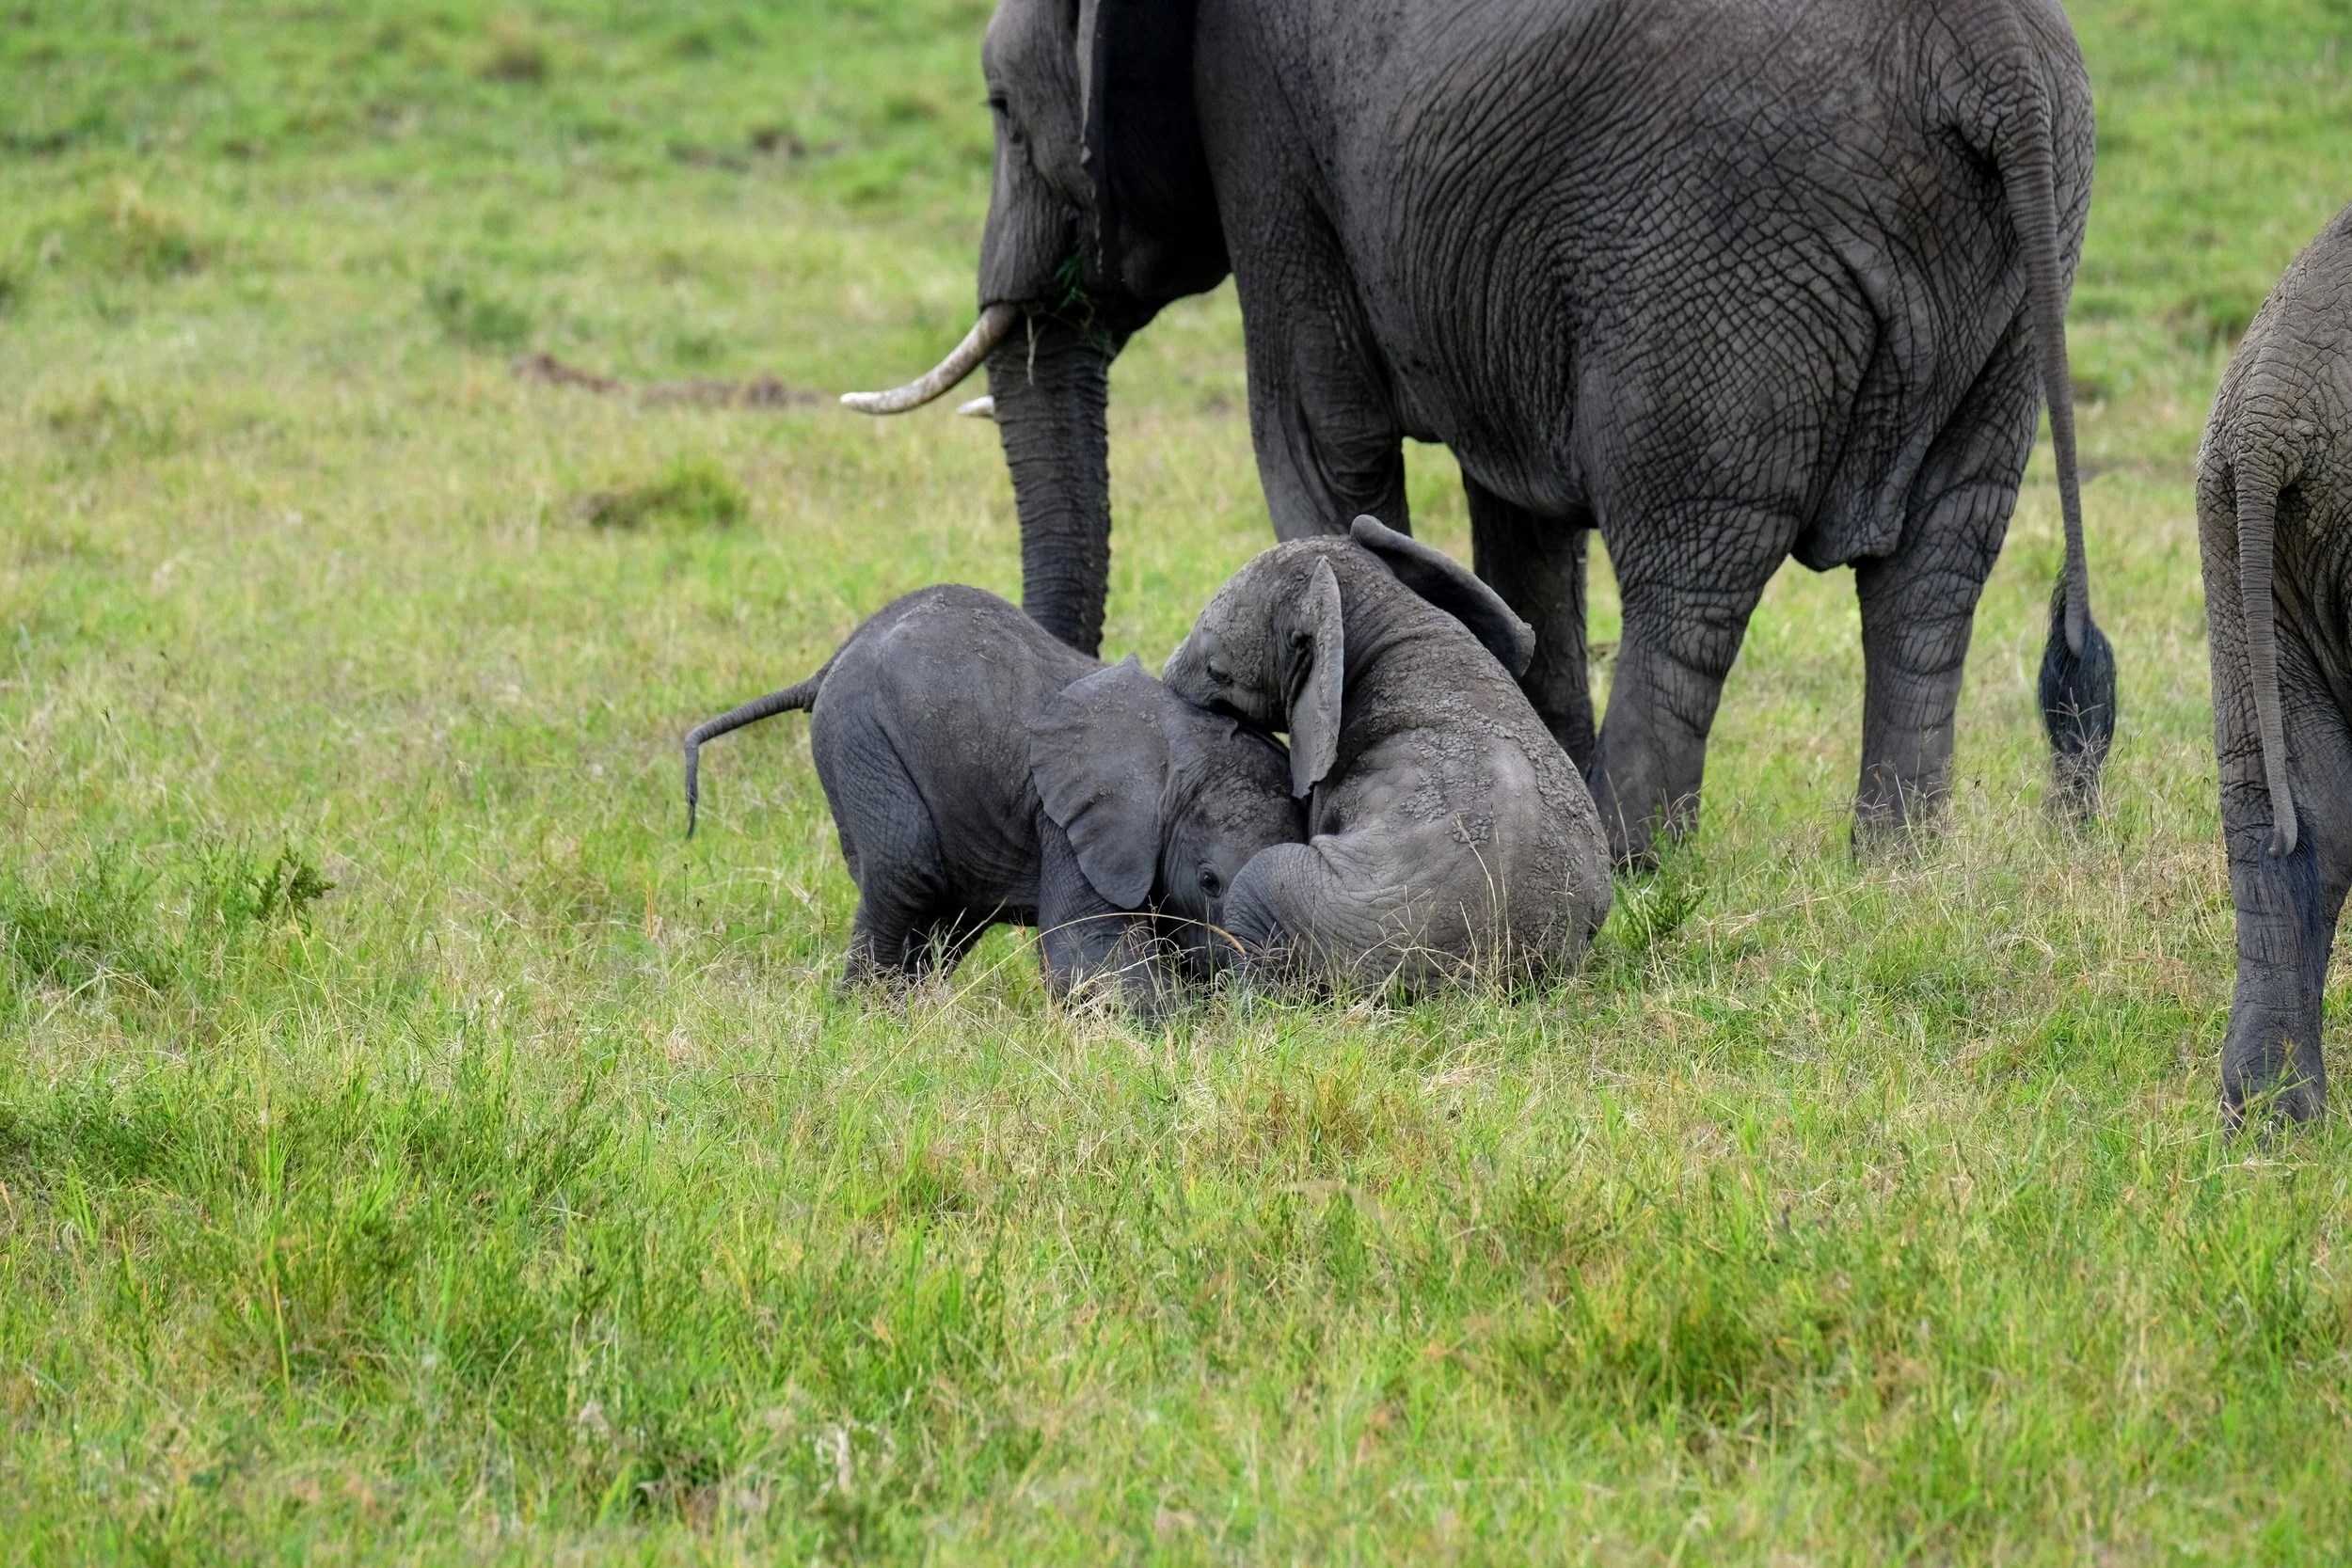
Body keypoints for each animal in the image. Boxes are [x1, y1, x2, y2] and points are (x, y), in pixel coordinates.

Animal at [682, 585, 1302, 999]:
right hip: (860, 735)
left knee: (947, 913)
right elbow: (1089, 950)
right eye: (1209, 881)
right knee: (906, 872)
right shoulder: (1069, 823)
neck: (1179, 749)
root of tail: (830, 663)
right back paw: (864, 1017)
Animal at [844, 0, 2117, 864]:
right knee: (1936, 570)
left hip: (1723, 270)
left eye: (1000, 110)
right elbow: (1520, 523)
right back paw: (1894, 868)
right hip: (2019, 279)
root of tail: (1997, 60)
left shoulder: (1266, 133)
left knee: (1693, 566)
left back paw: (1635, 858)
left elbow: (1316, 441)